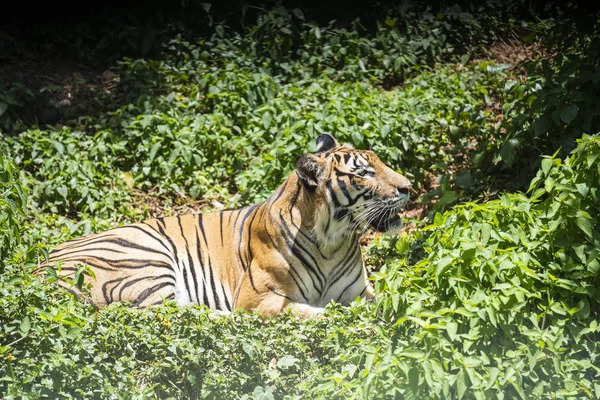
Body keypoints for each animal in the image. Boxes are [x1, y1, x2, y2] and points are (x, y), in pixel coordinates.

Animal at [38, 135, 412, 318]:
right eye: (364, 173)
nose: (408, 188)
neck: (333, 241)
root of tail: (36, 268)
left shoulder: (361, 292)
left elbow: (385, 302)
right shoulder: (258, 298)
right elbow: (315, 313)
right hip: (147, 257)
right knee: (164, 314)